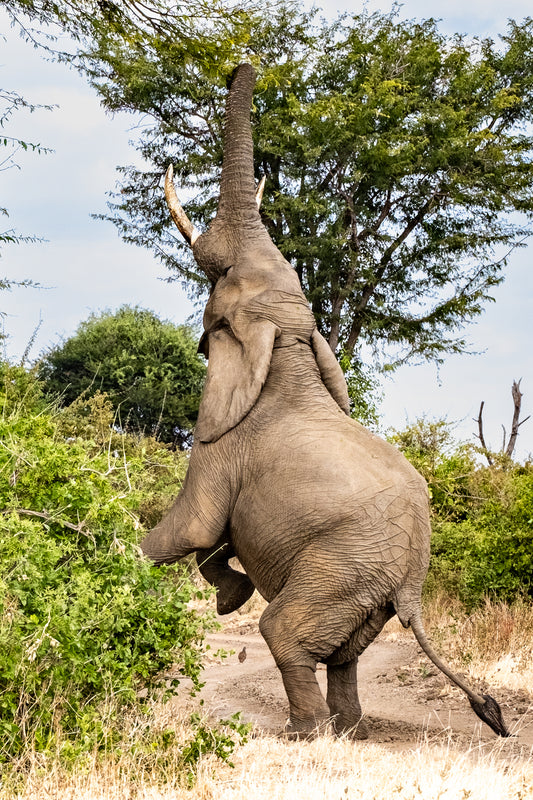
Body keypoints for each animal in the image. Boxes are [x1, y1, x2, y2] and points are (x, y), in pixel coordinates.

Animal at [141, 64, 508, 744]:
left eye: (220, 273)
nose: (244, 64)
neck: (286, 341)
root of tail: (412, 587)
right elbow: (213, 538)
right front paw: (228, 594)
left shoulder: (221, 442)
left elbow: (192, 526)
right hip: (362, 587)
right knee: (344, 652)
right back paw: (348, 730)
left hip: (340, 566)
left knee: (286, 634)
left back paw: (305, 733)